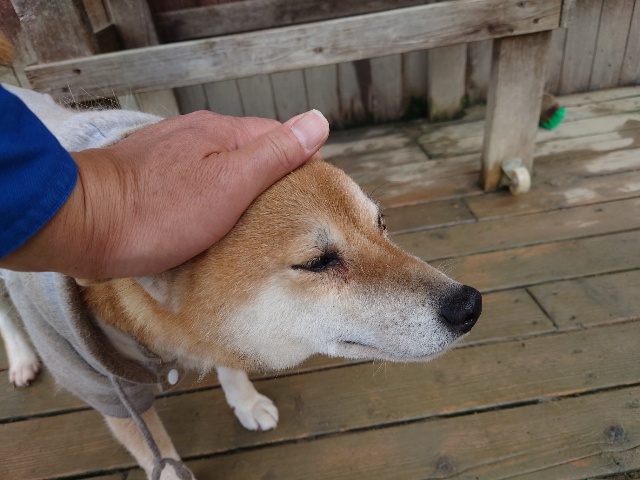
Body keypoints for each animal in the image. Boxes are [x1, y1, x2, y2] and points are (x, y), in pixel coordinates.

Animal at [0, 83, 482, 479]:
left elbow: (228, 361)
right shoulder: (102, 386)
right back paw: (22, 360)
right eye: (317, 262)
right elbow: (161, 458)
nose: (469, 305)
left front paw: (246, 401)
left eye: (380, 224)